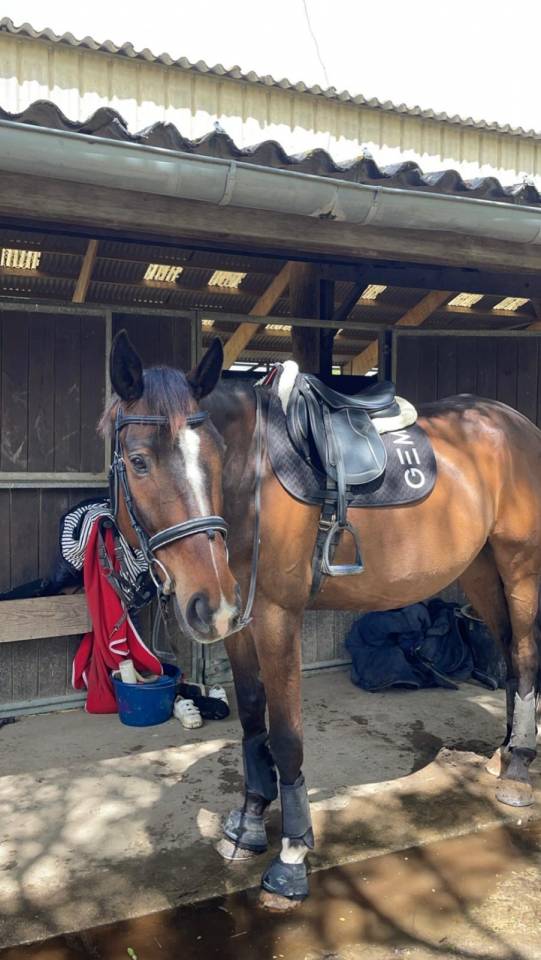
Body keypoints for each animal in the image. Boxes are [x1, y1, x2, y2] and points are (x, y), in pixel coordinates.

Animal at [105, 330, 540, 911]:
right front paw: (248, 824)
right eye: (138, 461)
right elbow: (252, 722)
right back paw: (504, 752)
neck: (253, 481)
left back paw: (517, 770)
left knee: (524, 655)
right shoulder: (239, 621)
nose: (206, 600)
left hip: (520, 566)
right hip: (480, 570)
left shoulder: (276, 618)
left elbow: (286, 735)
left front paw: (291, 857)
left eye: (216, 456)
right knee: (508, 653)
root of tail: (517, 425)